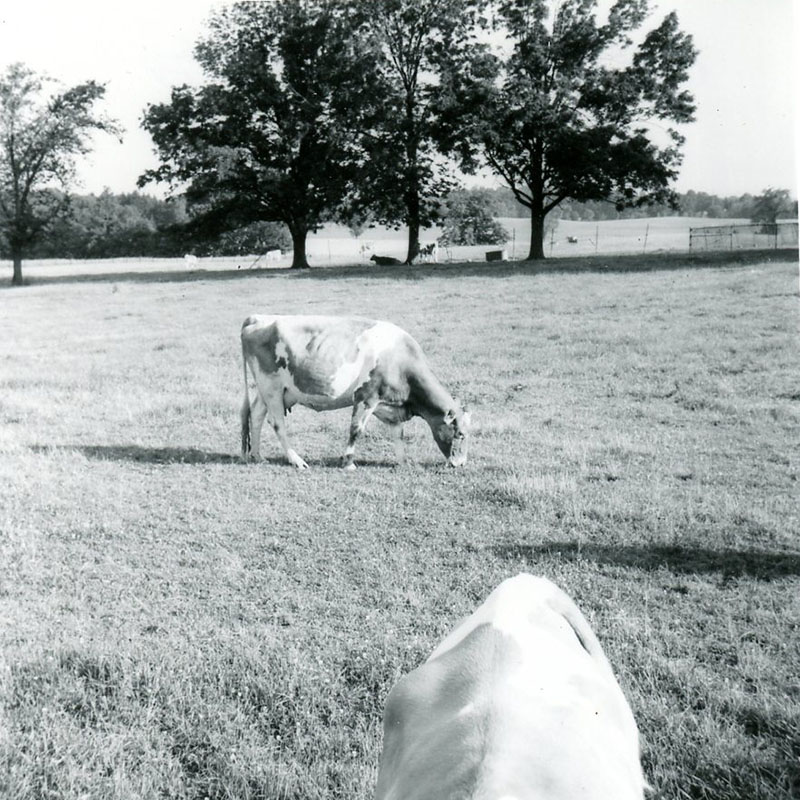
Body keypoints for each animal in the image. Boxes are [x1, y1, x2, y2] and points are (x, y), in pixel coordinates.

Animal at [241, 316, 472, 472]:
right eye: (460, 434)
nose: (461, 463)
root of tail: (258, 318)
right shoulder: (365, 396)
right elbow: (356, 429)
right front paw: (348, 462)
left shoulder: (388, 405)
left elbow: (398, 433)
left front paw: (403, 462)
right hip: (271, 386)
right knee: (277, 422)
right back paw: (296, 460)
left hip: (272, 390)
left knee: (257, 415)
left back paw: (257, 455)